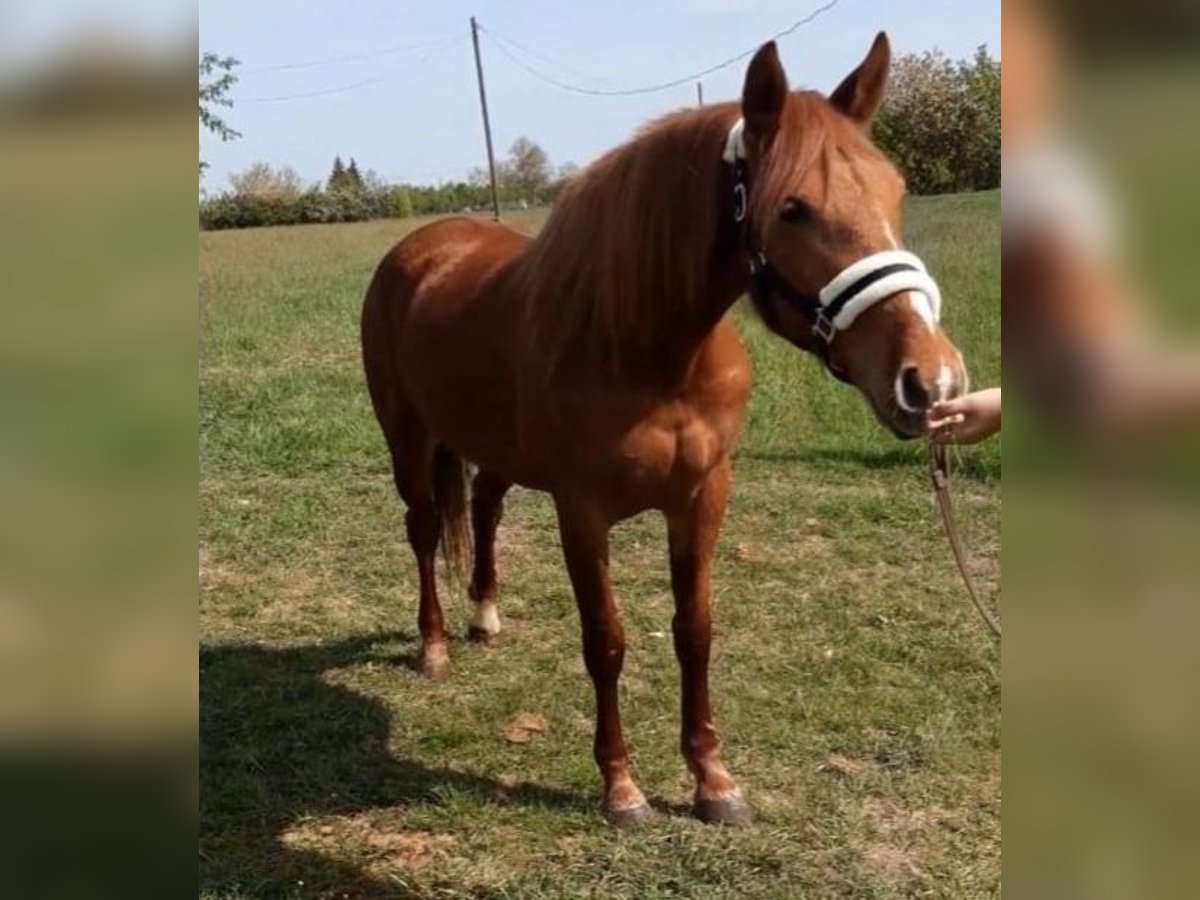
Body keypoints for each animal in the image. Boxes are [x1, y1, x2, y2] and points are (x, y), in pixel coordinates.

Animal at [362, 33, 964, 825]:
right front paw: (622, 788)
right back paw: (433, 647)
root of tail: (423, 248)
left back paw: (485, 616)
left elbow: (694, 630)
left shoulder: (703, 495)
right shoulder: (582, 511)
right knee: (426, 529)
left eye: (895, 191)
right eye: (793, 209)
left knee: (486, 507)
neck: (651, 350)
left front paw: (713, 781)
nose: (931, 381)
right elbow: (606, 640)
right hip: (409, 438)